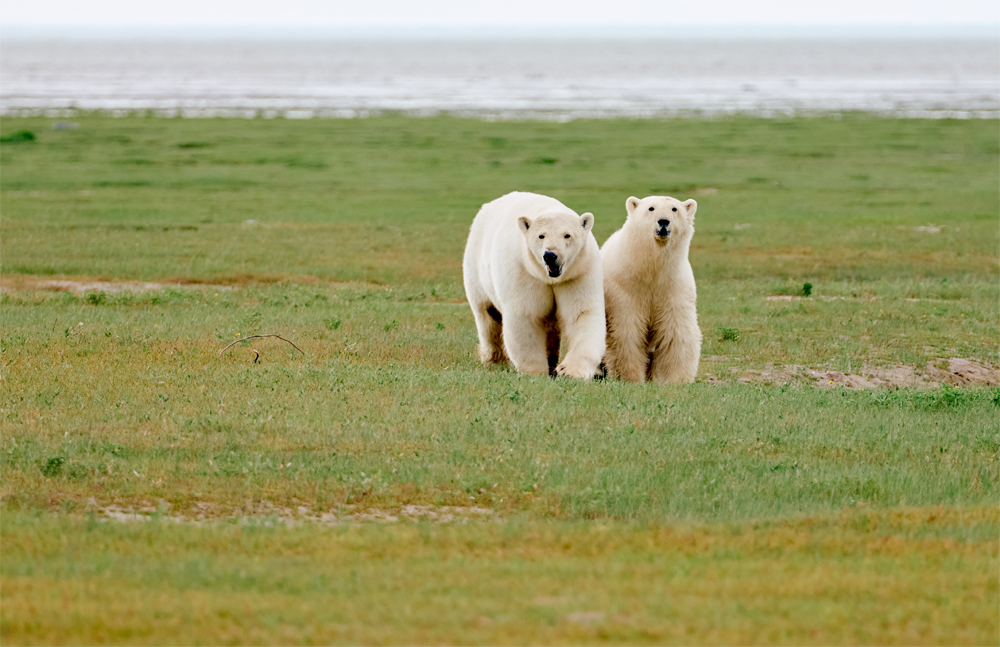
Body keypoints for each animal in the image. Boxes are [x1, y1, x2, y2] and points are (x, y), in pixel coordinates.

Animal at [463, 191, 606, 379]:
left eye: (567, 235)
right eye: (541, 235)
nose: (550, 255)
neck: (550, 278)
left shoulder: (577, 273)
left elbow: (581, 313)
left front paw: (569, 371)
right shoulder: (525, 271)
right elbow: (527, 314)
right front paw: (535, 371)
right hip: (477, 272)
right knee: (487, 316)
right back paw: (494, 360)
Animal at [601, 195, 701, 383]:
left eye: (674, 209)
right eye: (651, 208)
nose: (663, 221)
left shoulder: (674, 288)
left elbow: (675, 332)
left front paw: (676, 378)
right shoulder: (625, 290)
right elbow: (627, 332)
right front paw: (630, 377)